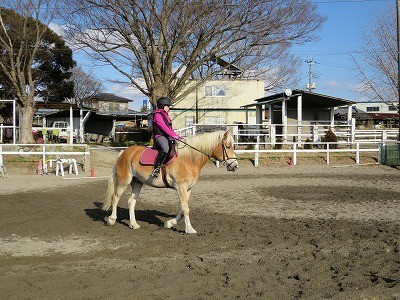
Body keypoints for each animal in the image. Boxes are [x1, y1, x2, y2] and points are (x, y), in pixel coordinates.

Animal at [102, 129, 238, 234]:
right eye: (228, 146)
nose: (235, 166)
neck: (189, 159)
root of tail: (124, 152)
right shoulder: (181, 187)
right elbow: (185, 209)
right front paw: (189, 229)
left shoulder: (188, 189)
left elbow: (183, 209)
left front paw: (169, 223)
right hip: (124, 181)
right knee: (115, 198)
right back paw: (111, 220)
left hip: (137, 183)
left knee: (131, 202)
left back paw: (133, 224)